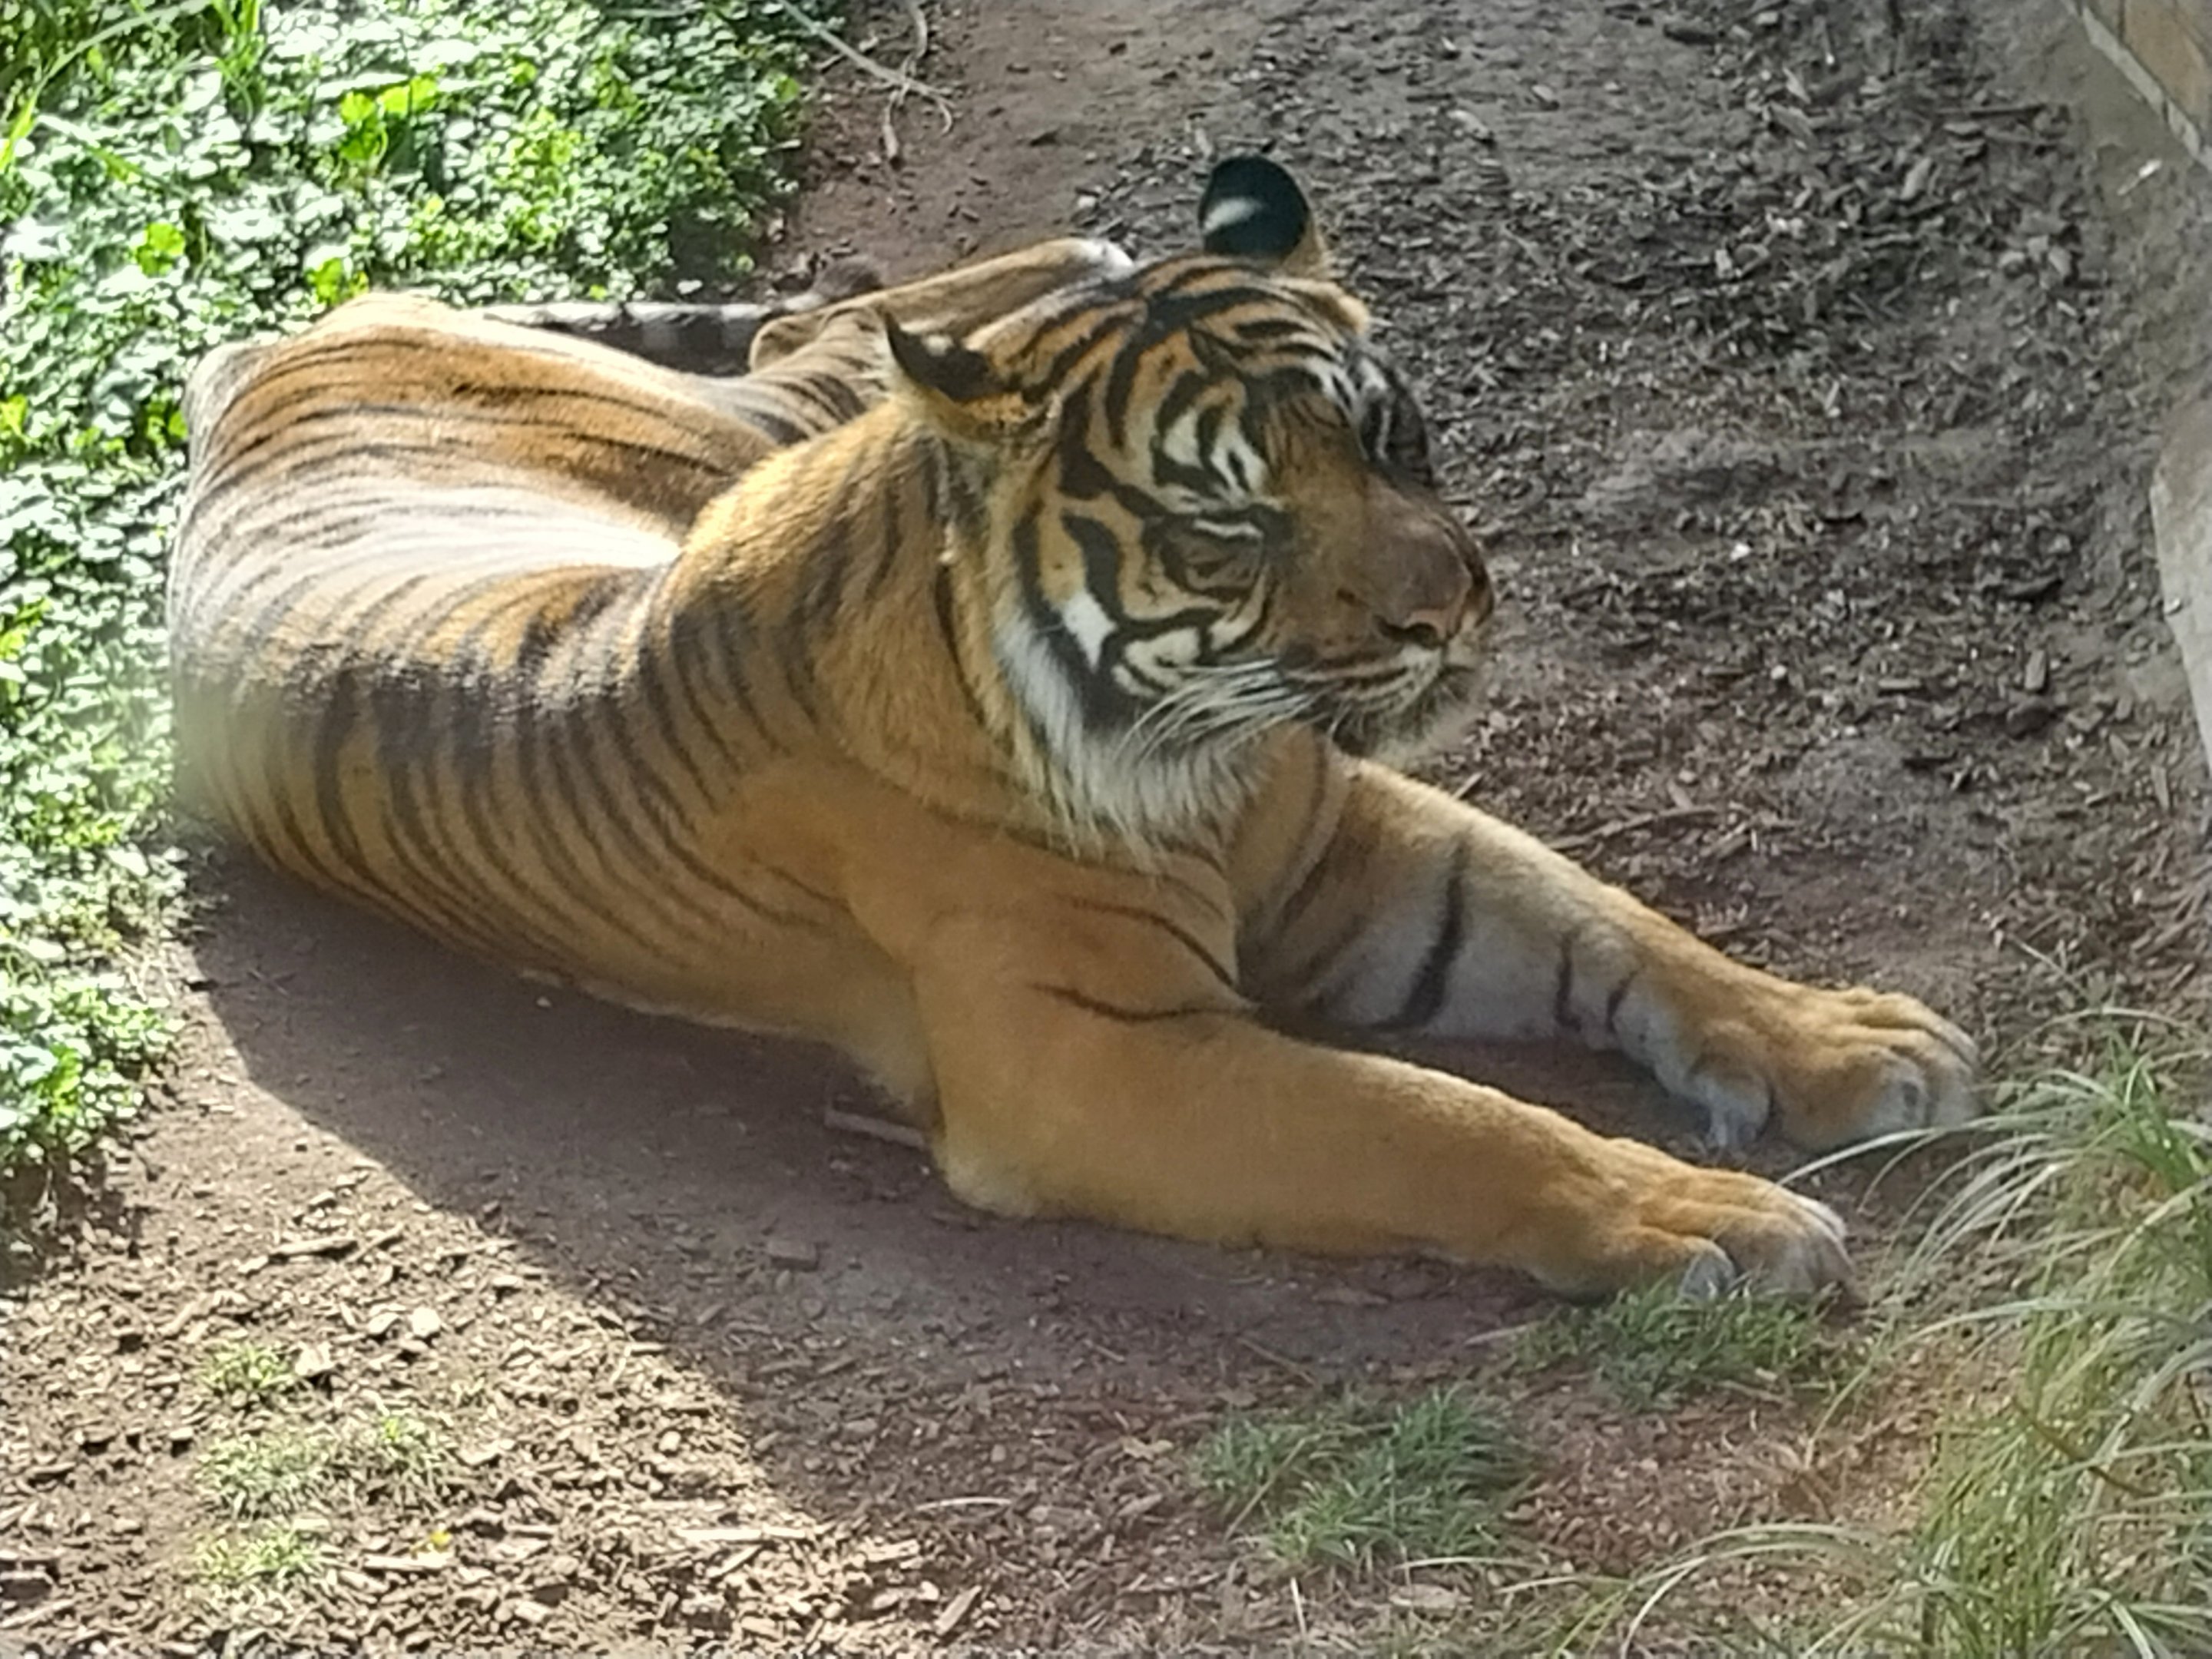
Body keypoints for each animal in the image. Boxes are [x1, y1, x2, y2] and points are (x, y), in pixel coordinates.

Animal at [168, 155, 1979, 1300]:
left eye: (1389, 434)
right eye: (1233, 524)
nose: (1450, 608)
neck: (1206, 744)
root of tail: (258, 358)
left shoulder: (1354, 849)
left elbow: (1625, 930)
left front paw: (1849, 1044)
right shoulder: (1097, 1059)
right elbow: (1439, 1122)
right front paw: (1703, 1220)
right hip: (756, 412)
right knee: (835, 331)